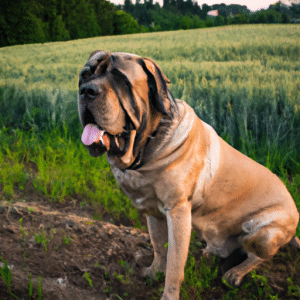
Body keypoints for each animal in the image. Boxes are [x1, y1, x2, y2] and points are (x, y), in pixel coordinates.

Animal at [78, 50, 300, 298]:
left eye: (120, 78)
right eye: (84, 75)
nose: (86, 90)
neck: (148, 144)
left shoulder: (178, 212)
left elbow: (175, 264)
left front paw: (168, 294)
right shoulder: (152, 211)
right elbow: (159, 246)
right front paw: (153, 272)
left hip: (262, 233)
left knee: (258, 255)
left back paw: (235, 273)